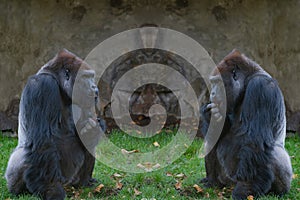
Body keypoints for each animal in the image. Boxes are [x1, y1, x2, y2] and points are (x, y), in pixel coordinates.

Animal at [4, 49, 106, 199]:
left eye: (91, 76)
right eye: (86, 77)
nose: (95, 88)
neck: (58, 83)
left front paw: (92, 131)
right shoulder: (42, 85)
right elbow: (43, 144)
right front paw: (52, 190)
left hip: (72, 181)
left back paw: (85, 182)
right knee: (23, 155)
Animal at [200, 49, 292, 199]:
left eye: (218, 82)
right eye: (212, 82)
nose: (212, 93)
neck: (248, 80)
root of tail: (230, 184)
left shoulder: (261, 87)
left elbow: (255, 143)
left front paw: (245, 188)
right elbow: (218, 132)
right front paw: (209, 117)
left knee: (274, 152)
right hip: (226, 179)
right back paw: (211, 181)